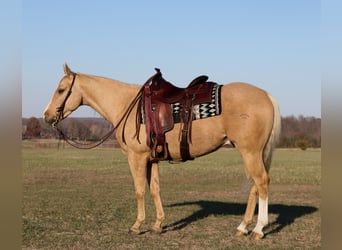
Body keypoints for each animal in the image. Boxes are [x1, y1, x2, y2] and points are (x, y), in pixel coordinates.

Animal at [43, 63, 280, 239]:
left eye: (61, 90)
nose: (47, 116)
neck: (128, 105)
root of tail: (266, 95)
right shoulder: (152, 159)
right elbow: (155, 189)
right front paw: (158, 225)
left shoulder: (136, 158)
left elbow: (139, 190)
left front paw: (137, 225)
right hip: (252, 153)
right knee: (254, 186)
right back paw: (243, 227)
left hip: (250, 152)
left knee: (261, 182)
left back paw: (258, 229)